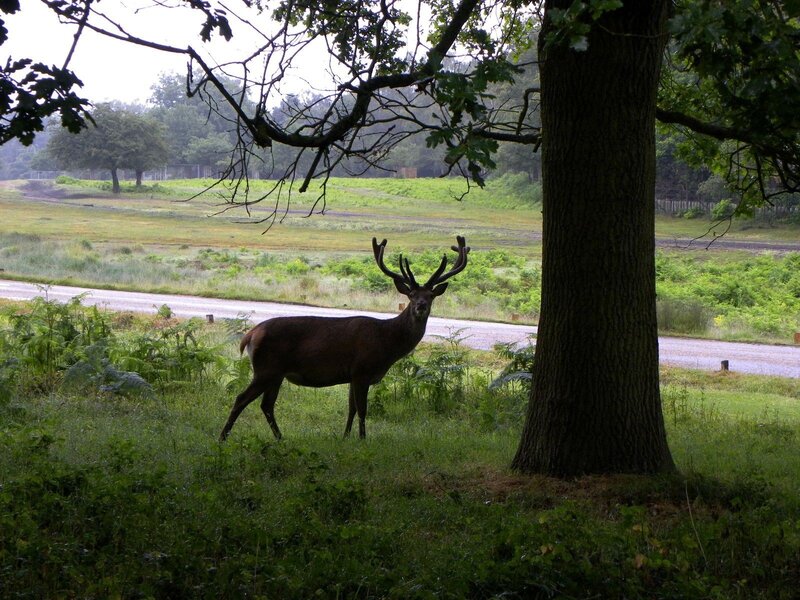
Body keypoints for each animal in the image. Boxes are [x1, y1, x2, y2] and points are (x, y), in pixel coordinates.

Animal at [219, 235, 470, 441]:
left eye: (430, 295)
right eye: (411, 294)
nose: (420, 306)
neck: (387, 342)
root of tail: (250, 335)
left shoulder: (352, 374)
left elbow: (351, 408)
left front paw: (345, 437)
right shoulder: (362, 370)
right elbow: (363, 409)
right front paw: (362, 439)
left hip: (276, 373)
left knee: (266, 405)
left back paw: (280, 438)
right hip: (266, 368)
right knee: (242, 399)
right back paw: (223, 437)